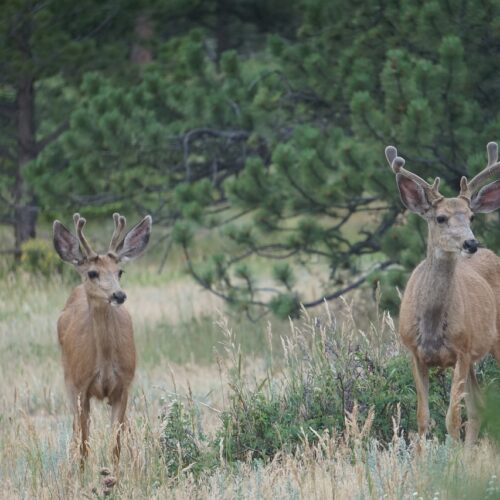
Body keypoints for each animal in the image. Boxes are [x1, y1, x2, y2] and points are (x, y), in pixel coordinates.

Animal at [52, 212, 152, 464]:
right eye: (93, 272)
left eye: (120, 271)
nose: (119, 295)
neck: (104, 363)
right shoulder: (80, 387)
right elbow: (84, 445)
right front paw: (83, 473)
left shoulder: (123, 385)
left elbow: (115, 445)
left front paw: (113, 473)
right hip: (68, 380)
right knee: (76, 431)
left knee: (125, 427)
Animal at [384, 141, 500, 442]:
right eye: (440, 218)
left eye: (471, 216)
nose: (471, 243)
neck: (432, 324)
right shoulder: (414, 352)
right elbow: (423, 418)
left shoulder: (461, 350)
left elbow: (452, 419)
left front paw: (453, 454)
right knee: (478, 406)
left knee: (474, 407)